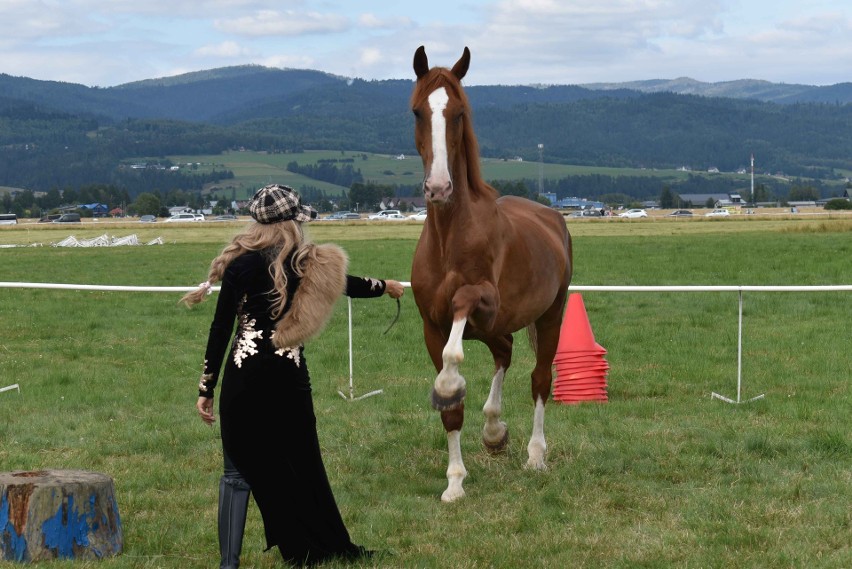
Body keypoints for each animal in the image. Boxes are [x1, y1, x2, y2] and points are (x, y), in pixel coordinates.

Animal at [412, 47, 572, 502]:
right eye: (417, 111)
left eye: (459, 113)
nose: (439, 188)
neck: (450, 238)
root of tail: (553, 218)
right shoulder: (433, 325)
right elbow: (452, 412)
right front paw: (454, 482)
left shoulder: (482, 303)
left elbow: (454, 357)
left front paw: (448, 386)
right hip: (494, 327)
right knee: (504, 351)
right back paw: (494, 431)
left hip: (549, 315)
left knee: (539, 378)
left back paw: (535, 455)